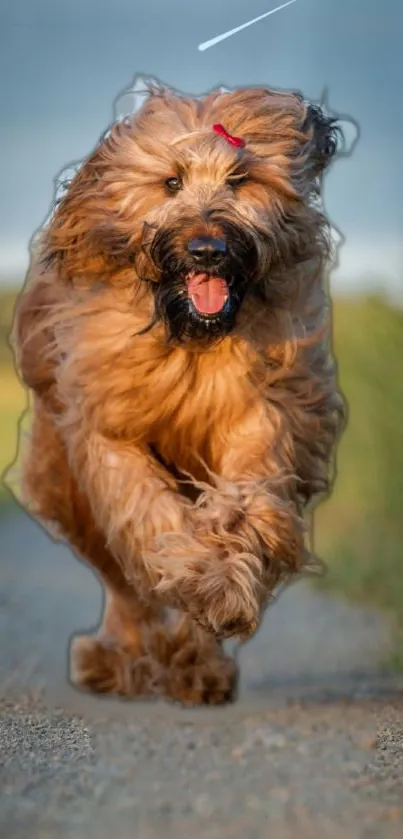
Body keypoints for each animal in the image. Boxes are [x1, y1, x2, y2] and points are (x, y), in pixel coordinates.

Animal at [9, 82, 346, 704]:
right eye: (171, 182)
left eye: (240, 180)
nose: (208, 249)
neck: (190, 338)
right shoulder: (108, 428)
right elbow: (149, 513)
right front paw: (198, 578)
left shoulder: (261, 410)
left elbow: (245, 501)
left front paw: (223, 589)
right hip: (63, 484)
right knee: (122, 580)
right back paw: (120, 659)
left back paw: (196, 664)